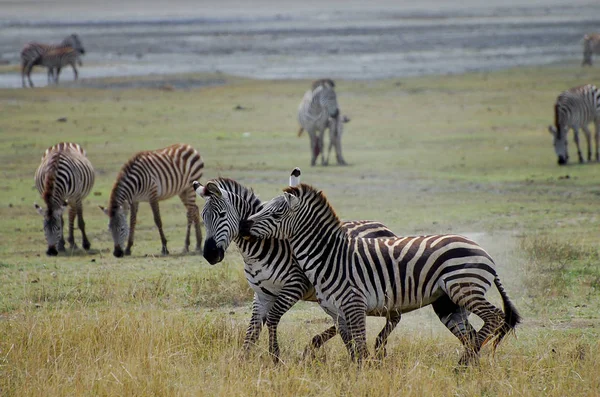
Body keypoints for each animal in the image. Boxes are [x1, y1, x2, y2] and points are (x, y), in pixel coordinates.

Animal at [193, 167, 398, 362]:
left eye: (222, 214)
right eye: (203, 217)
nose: (210, 254)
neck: (259, 250)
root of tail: (385, 228)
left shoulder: (295, 285)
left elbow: (272, 318)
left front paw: (275, 357)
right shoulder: (261, 294)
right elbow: (252, 330)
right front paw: (242, 360)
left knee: (389, 316)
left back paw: (375, 347)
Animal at [241, 184, 524, 364]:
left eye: (277, 212)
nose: (244, 224)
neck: (329, 256)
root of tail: (485, 252)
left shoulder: (354, 304)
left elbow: (360, 346)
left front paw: (363, 374)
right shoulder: (337, 311)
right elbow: (351, 347)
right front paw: (354, 373)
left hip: (465, 288)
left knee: (494, 318)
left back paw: (464, 364)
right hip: (450, 302)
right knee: (471, 334)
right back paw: (467, 367)